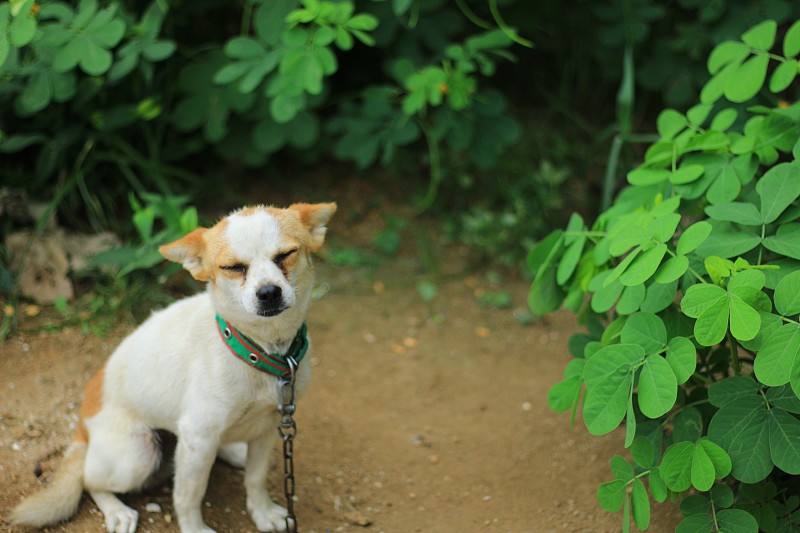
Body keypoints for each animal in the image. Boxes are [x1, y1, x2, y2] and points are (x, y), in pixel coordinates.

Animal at [12, 202, 338, 528]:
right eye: (233, 267)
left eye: (286, 254)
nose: (268, 293)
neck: (257, 350)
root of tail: (83, 424)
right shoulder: (197, 438)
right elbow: (188, 496)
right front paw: (195, 528)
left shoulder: (268, 427)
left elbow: (255, 479)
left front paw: (262, 512)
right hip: (140, 454)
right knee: (89, 481)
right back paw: (116, 511)